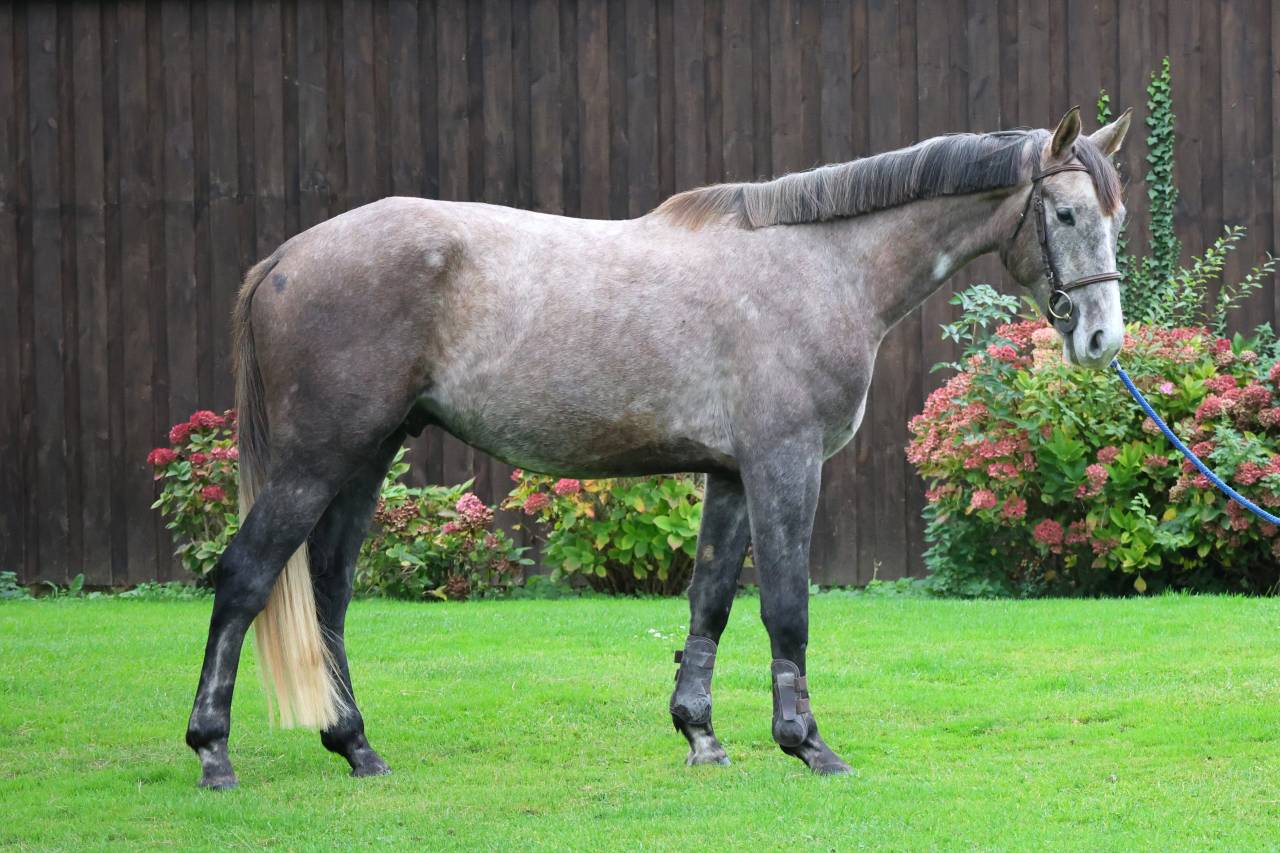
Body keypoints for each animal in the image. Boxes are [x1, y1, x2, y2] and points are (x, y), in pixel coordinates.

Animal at [185, 107, 1131, 787]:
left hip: (365, 458)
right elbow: (786, 608)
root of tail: (284, 258)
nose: (1102, 341)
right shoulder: (784, 464)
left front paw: (701, 734)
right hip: (316, 461)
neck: (821, 264)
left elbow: (708, 603)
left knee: (329, 593)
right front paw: (808, 743)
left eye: (1113, 217)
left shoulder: (731, 474)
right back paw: (213, 751)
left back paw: (356, 746)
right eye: (1065, 211)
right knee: (244, 578)